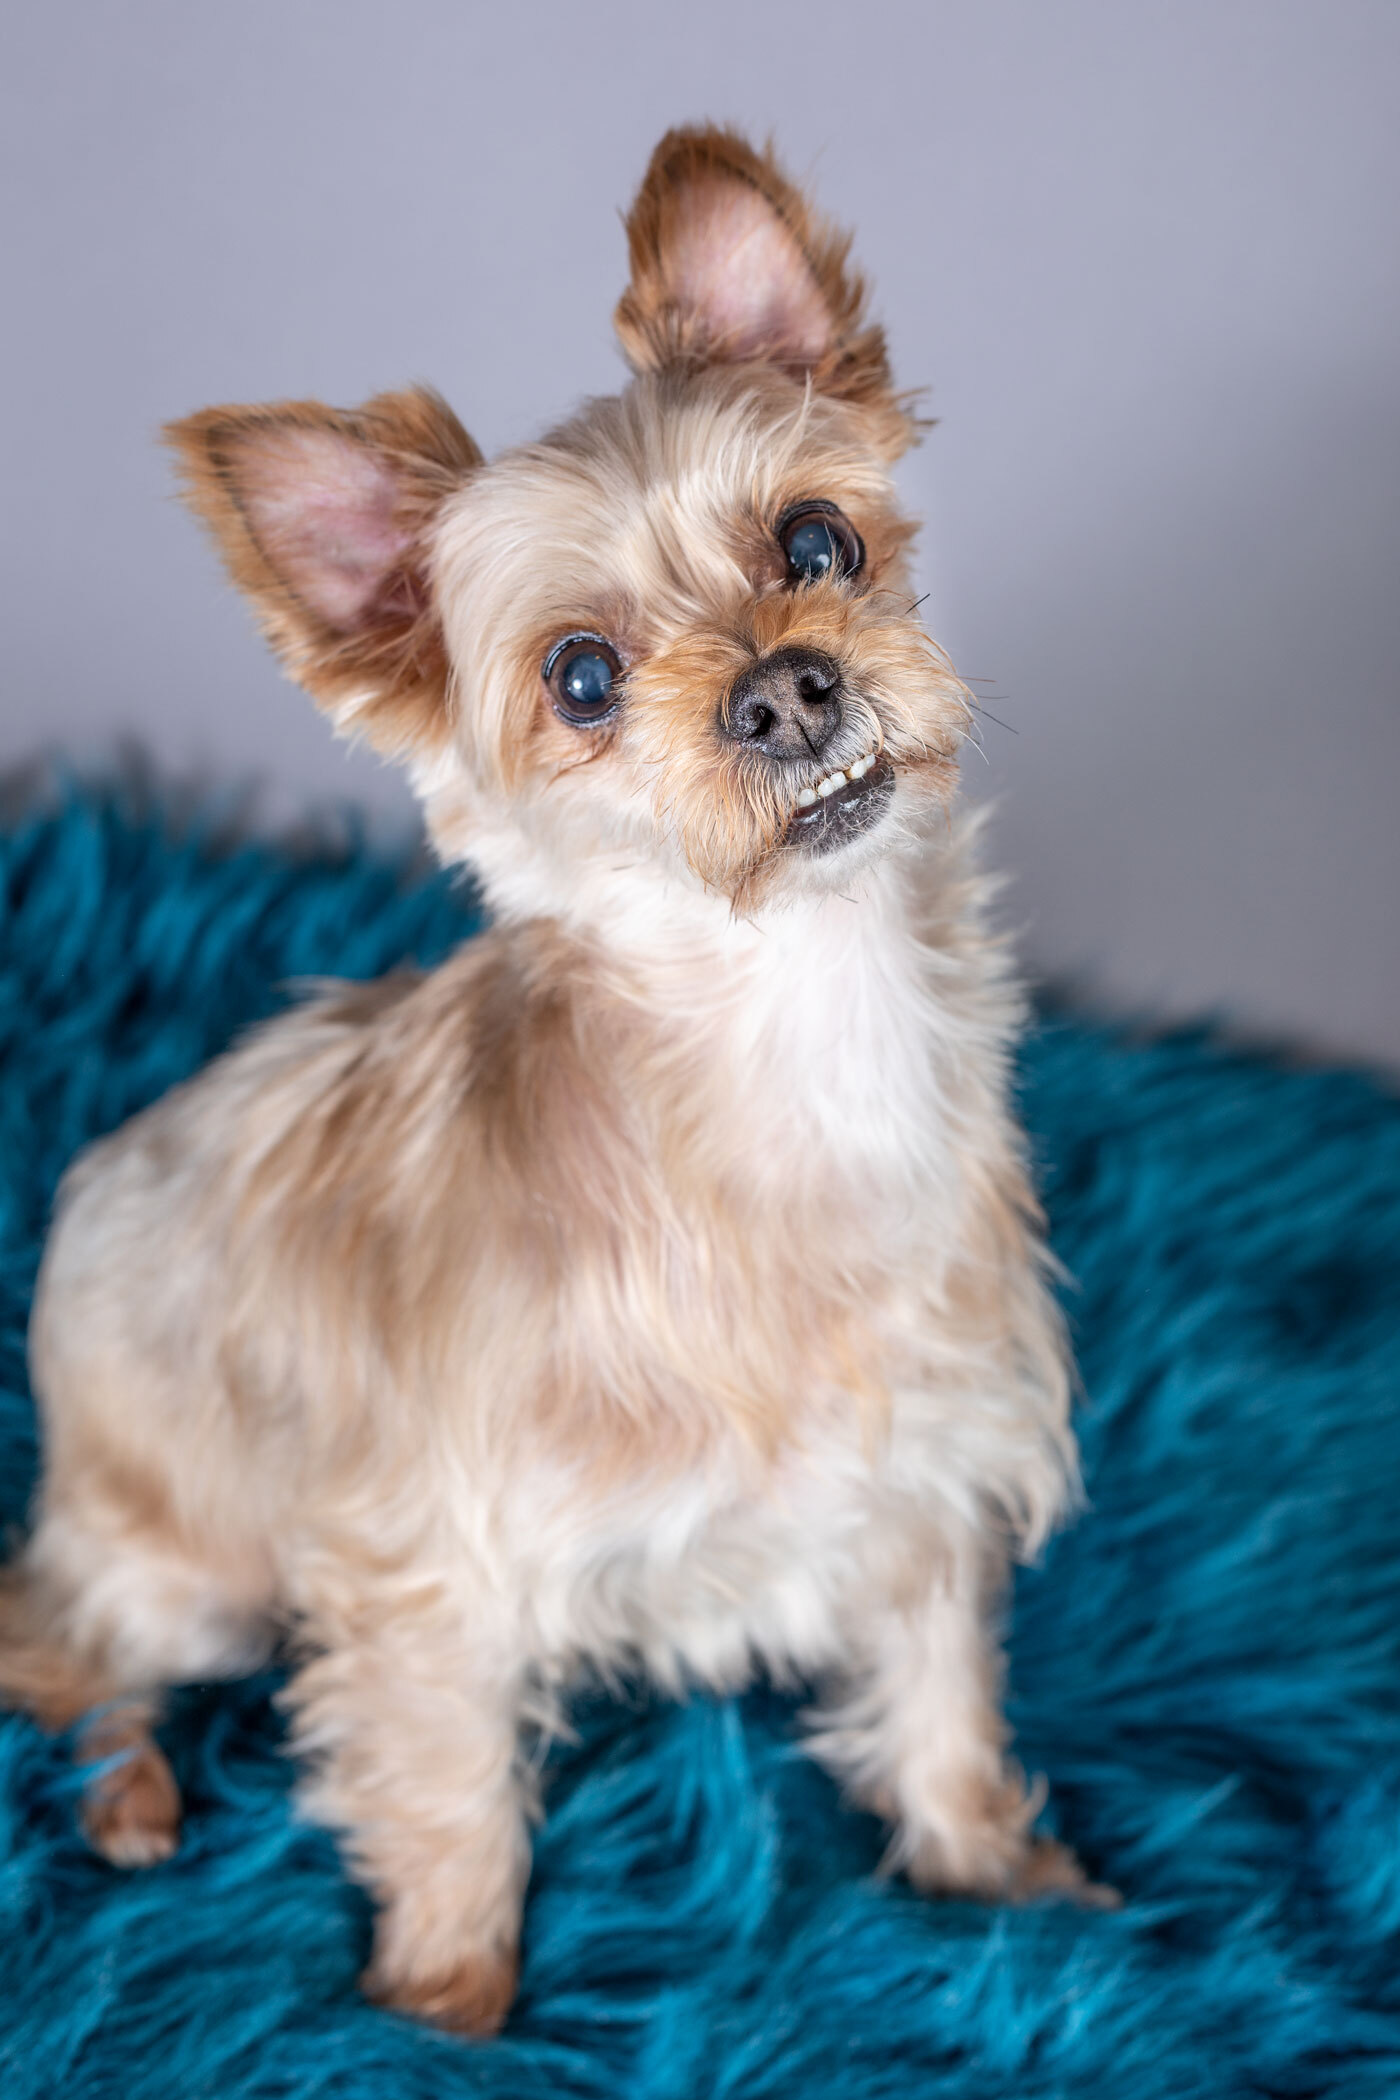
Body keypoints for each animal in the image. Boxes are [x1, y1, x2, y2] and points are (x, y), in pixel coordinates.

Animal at [2, 122, 1116, 2024]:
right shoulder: (429, 1580)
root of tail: (101, 1176)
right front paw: (439, 2018)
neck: (800, 1043)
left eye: (815, 540)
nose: (787, 693)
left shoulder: (920, 1490)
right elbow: (453, 1811)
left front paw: (1001, 1888)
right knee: (69, 1658)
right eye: (581, 679)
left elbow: (940, 1706)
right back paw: (133, 1797)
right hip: (187, 1562)